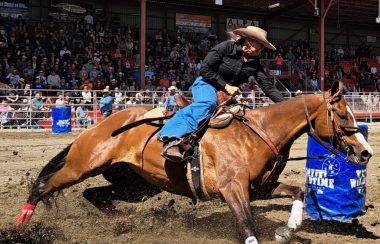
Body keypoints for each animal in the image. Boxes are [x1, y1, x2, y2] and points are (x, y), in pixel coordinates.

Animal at [14, 81, 372, 243]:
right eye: (342, 116)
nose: (365, 153)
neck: (257, 134)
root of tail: (100, 125)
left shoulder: (260, 189)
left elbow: (299, 191)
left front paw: (287, 229)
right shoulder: (233, 190)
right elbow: (247, 225)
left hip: (136, 185)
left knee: (96, 195)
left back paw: (121, 221)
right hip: (83, 164)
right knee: (44, 184)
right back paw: (20, 225)